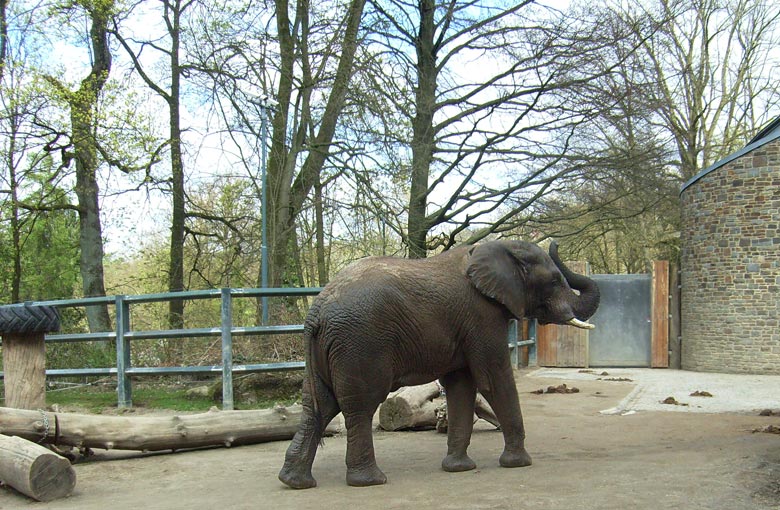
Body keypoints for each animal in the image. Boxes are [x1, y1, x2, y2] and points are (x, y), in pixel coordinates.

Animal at [278, 241, 600, 488]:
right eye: (555, 281)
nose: (554, 242)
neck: (499, 247)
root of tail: (317, 311)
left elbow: (461, 386)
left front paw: (458, 468)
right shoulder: (482, 316)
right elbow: (493, 379)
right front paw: (519, 463)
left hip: (330, 350)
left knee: (318, 406)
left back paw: (295, 482)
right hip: (359, 344)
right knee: (359, 406)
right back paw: (369, 481)